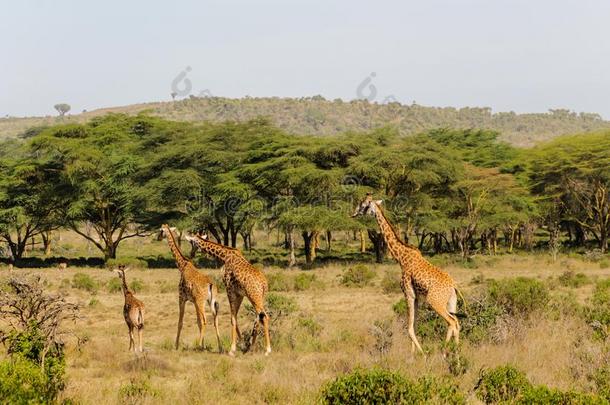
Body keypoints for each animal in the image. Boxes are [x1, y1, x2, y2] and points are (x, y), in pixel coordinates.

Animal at [350, 194, 464, 352]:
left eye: (363, 205)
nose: (353, 214)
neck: (401, 258)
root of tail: (453, 286)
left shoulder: (408, 293)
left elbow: (409, 329)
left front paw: (421, 354)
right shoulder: (416, 298)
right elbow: (413, 326)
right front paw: (412, 354)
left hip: (435, 302)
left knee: (452, 322)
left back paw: (445, 352)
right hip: (451, 302)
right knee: (456, 322)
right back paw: (455, 353)